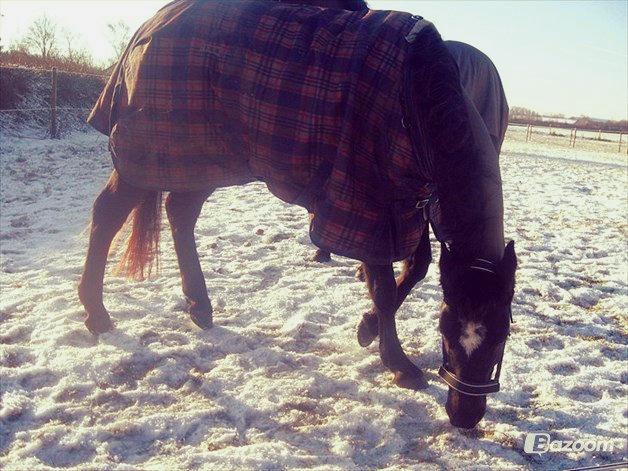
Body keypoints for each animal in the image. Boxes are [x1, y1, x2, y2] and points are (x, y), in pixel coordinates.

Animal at [78, 0, 516, 432]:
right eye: (446, 332)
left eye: (502, 336)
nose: (465, 415)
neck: (412, 97)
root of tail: (151, 24)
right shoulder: (368, 203)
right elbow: (386, 289)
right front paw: (397, 362)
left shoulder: (405, 203)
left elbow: (415, 268)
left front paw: (368, 327)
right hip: (153, 156)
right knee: (108, 215)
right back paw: (97, 312)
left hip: (208, 159)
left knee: (180, 214)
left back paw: (198, 305)